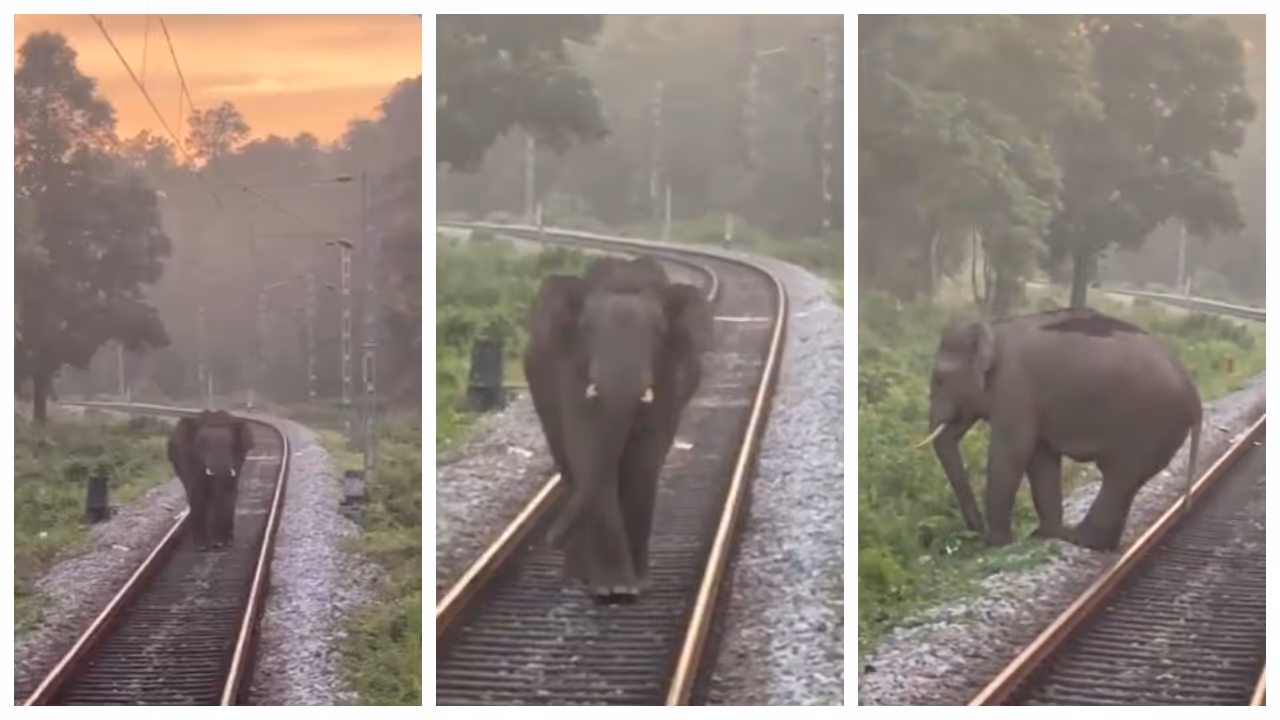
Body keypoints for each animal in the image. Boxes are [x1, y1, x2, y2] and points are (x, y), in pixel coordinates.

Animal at [167, 410, 254, 550]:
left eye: (231, 444)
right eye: (201, 444)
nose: (217, 544)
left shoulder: (238, 457)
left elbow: (228, 492)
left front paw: (221, 543)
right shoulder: (187, 457)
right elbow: (197, 492)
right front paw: (202, 546)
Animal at [524, 256, 713, 600]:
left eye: (657, 331)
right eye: (587, 329)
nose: (550, 540)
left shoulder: (671, 371)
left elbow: (644, 460)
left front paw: (633, 587)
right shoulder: (571, 367)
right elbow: (587, 449)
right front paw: (614, 589)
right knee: (570, 467)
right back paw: (578, 577)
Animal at [919, 308, 1202, 550]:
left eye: (939, 380)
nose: (975, 534)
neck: (994, 326)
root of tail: (1193, 392)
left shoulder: (1014, 386)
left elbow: (1013, 450)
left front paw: (998, 544)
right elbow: (1040, 456)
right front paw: (1043, 535)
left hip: (1149, 424)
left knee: (1121, 475)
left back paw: (1083, 540)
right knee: (1124, 479)